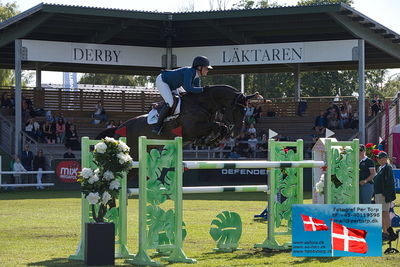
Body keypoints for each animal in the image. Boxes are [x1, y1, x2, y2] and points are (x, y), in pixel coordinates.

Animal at [95, 86, 255, 161]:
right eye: (237, 110)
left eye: (246, 110)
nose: (238, 133)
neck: (202, 104)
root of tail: (118, 128)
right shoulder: (192, 129)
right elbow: (218, 125)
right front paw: (209, 139)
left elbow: (221, 127)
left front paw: (211, 140)